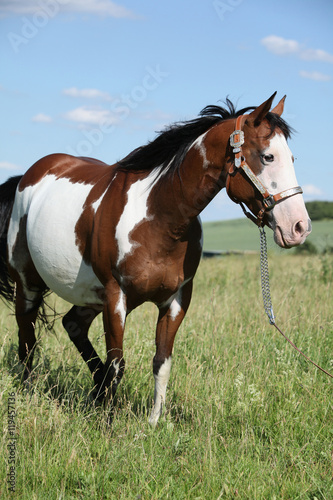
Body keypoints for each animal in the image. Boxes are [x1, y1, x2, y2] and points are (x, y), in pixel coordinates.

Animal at [0, 93, 312, 426]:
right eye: (268, 157)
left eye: (292, 158)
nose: (299, 227)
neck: (159, 217)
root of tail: (26, 177)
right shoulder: (116, 297)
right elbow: (117, 364)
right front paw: (108, 425)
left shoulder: (176, 299)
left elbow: (161, 361)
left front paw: (153, 423)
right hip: (28, 285)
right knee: (27, 339)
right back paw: (29, 394)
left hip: (91, 296)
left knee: (72, 325)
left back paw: (94, 394)